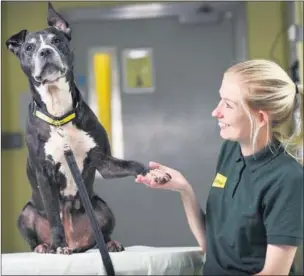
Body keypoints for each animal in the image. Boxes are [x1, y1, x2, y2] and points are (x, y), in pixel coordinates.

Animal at [4, 1, 166, 254]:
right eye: (29, 47)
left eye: (57, 40)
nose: (45, 51)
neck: (59, 115)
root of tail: (76, 242)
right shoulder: (43, 172)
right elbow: (53, 214)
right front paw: (58, 245)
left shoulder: (103, 161)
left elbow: (132, 163)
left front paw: (153, 173)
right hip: (25, 213)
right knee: (37, 233)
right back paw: (46, 246)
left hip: (101, 207)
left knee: (100, 234)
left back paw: (109, 243)